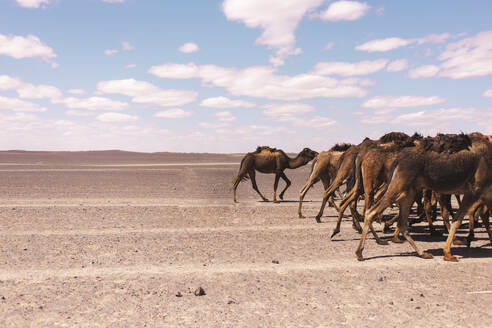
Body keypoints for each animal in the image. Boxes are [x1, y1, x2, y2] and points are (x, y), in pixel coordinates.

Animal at [354, 133, 492, 262]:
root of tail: (398, 159)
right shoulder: (474, 191)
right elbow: (458, 220)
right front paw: (448, 253)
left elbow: (480, 215)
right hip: (399, 184)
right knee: (371, 211)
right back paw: (360, 252)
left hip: (408, 191)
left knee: (402, 223)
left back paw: (422, 253)